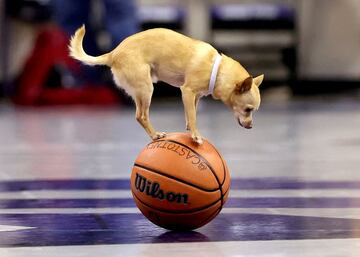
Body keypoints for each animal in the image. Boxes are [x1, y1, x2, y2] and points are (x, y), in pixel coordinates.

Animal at [69, 26, 262, 144]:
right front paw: (195, 135)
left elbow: (191, 113)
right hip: (146, 89)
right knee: (141, 116)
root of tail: (113, 54)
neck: (217, 69)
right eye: (248, 109)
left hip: (141, 91)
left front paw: (189, 129)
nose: (251, 126)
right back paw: (155, 135)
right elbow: (193, 116)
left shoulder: (195, 96)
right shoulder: (187, 91)